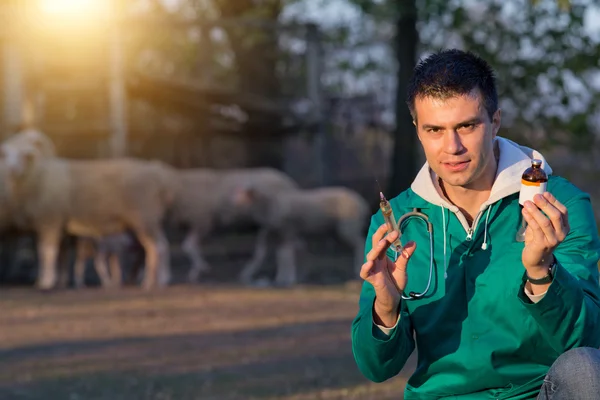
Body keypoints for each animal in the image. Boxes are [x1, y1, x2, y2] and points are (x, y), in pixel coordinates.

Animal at [224, 186, 370, 286]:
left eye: (240, 201)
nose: (227, 217)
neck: (269, 206)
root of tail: (362, 203)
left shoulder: (287, 230)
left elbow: (285, 255)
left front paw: (287, 279)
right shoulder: (279, 233)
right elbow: (278, 254)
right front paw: (282, 278)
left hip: (348, 227)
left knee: (359, 243)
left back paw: (358, 269)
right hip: (339, 230)